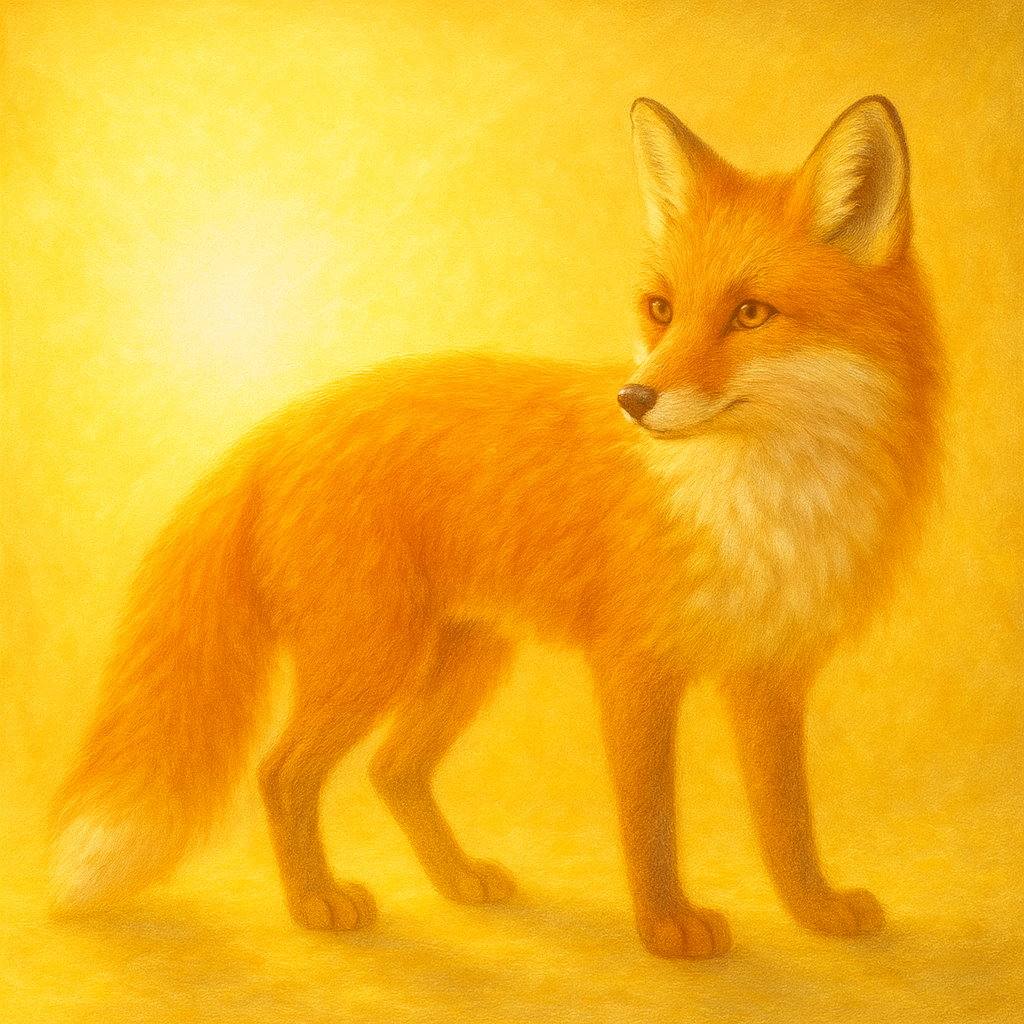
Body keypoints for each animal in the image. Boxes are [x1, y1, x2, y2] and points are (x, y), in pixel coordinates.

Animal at [52, 95, 943, 959]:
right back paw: (314, 904)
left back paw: (455, 881)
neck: (762, 502)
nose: (634, 400)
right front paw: (666, 928)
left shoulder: (770, 673)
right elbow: (651, 819)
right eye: (661, 309)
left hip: (465, 662)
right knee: (281, 772)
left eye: (751, 314)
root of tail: (282, 424)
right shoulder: (634, 666)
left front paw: (814, 911)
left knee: (392, 770)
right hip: (372, 659)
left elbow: (787, 820)